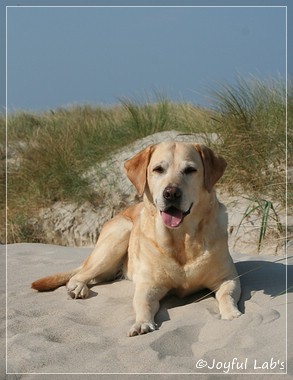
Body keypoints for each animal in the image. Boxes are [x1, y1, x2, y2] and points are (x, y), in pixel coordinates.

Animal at [32, 142, 242, 336]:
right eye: (158, 169)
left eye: (190, 170)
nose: (171, 193)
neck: (182, 239)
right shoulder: (148, 286)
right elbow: (143, 304)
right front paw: (142, 323)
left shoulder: (228, 278)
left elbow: (227, 296)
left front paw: (231, 314)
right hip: (119, 235)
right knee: (78, 275)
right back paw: (78, 287)